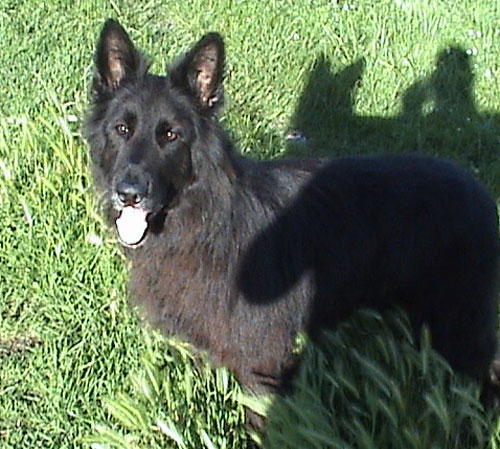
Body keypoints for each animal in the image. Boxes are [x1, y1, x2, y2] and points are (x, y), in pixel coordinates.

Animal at [86, 17, 500, 424]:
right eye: (122, 129)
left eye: (170, 135)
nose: (128, 192)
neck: (207, 221)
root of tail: (477, 187)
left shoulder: (261, 360)